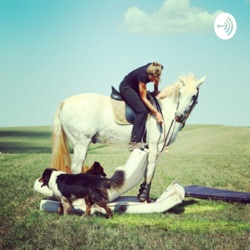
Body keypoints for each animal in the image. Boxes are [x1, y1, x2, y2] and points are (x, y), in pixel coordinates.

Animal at [50, 73, 205, 201]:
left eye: (193, 95)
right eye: (181, 93)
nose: (178, 116)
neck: (164, 110)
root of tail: (65, 102)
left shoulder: (150, 148)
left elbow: (148, 171)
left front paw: (143, 194)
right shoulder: (154, 147)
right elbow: (150, 171)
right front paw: (144, 197)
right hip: (81, 142)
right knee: (76, 167)